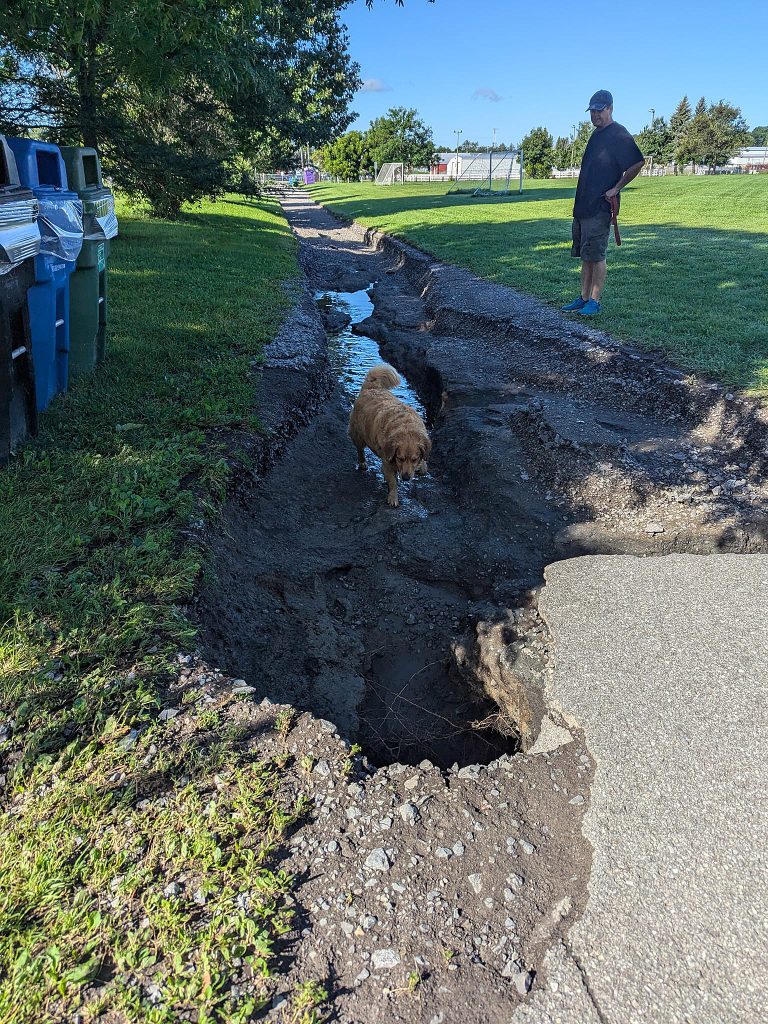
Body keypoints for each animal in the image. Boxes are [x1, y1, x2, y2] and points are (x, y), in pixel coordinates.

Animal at [350, 364, 434, 507]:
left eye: (414, 459)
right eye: (400, 458)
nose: (405, 478)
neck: (406, 428)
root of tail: (372, 388)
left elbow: (424, 465)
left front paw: (421, 467)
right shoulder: (388, 460)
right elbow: (393, 482)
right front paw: (393, 497)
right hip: (358, 435)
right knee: (360, 449)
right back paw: (362, 462)